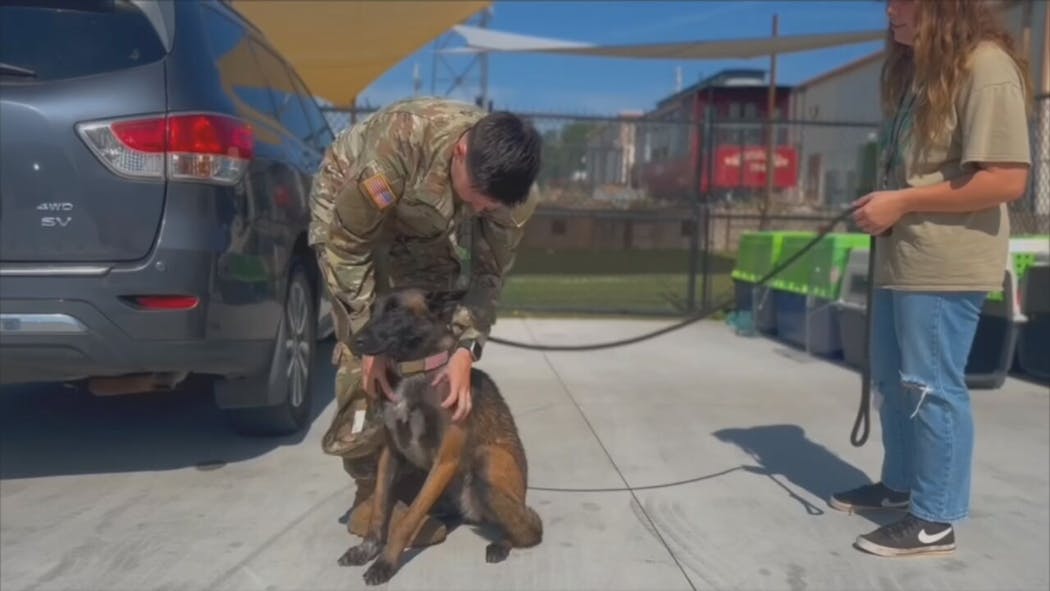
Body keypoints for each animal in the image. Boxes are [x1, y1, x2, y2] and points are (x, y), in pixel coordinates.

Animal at [340, 289, 546, 583]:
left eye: (395, 310)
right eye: (373, 310)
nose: (353, 341)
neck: (416, 369)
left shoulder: (445, 461)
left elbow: (406, 520)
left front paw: (385, 562)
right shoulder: (390, 454)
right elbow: (379, 509)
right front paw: (367, 548)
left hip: (488, 462)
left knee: (532, 528)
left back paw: (502, 544)